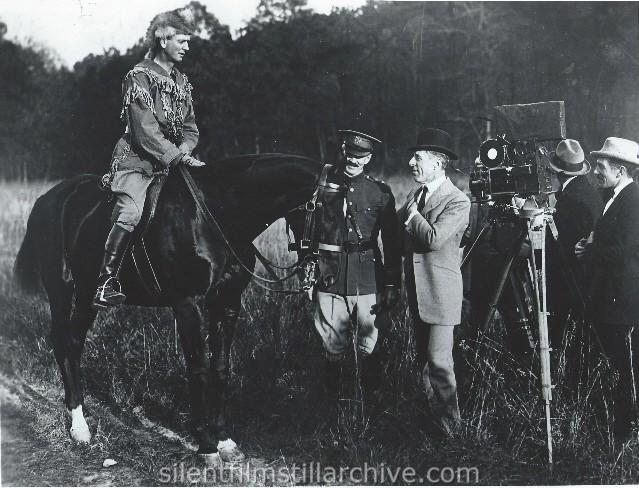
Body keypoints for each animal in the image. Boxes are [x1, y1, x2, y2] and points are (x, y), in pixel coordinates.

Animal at [13, 154, 324, 468]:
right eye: (331, 213)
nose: (321, 277)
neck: (217, 214)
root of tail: (48, 198)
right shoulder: (189, 305)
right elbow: (198, 367)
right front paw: (206, 445)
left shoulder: (227, 303)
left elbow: (221, 367)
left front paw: (225, 440)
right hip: (62, 290)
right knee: (63, 342)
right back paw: (79, 427)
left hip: (87, 295)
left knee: (73, 342)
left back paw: (80, 416)